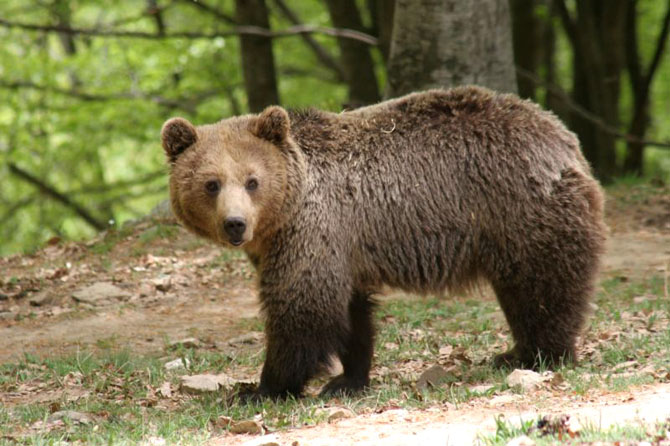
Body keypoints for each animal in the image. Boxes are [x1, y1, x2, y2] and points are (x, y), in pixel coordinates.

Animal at [160, 85, 608, 398]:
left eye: (252, 181)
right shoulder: (338, 248)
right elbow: (351, 314)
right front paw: (348, 378)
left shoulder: (312, 231)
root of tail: (563, 136)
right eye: (211, 183)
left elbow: (302, 308)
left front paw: (261, 388)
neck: (282, 216)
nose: (235, 224)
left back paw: (541, 354)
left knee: (543, 286)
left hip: (519, 209)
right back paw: (512, 353)